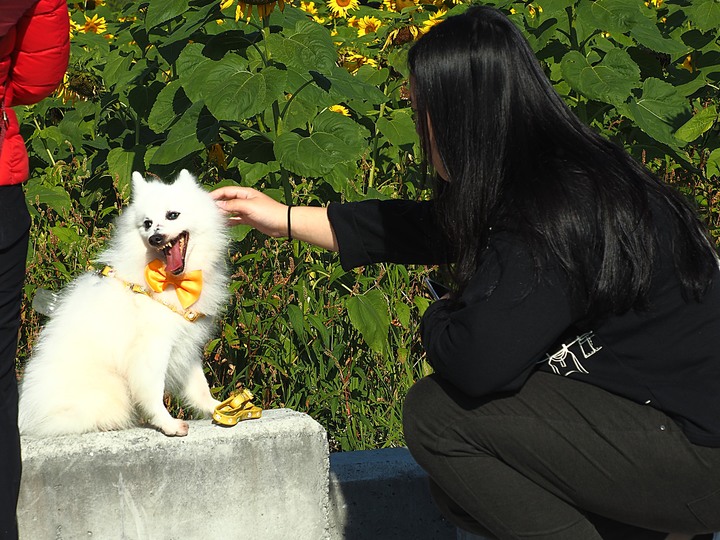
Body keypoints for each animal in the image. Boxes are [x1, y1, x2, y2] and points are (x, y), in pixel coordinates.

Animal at [19, 171, 228, 436]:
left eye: (172, 215)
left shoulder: (184, 347)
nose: (155, 238)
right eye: (147, 223)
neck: (171, 281)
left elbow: (200, 388)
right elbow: (153, 392)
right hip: (108, 390)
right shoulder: (152, 348)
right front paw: (167, 424)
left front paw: (219, 408)